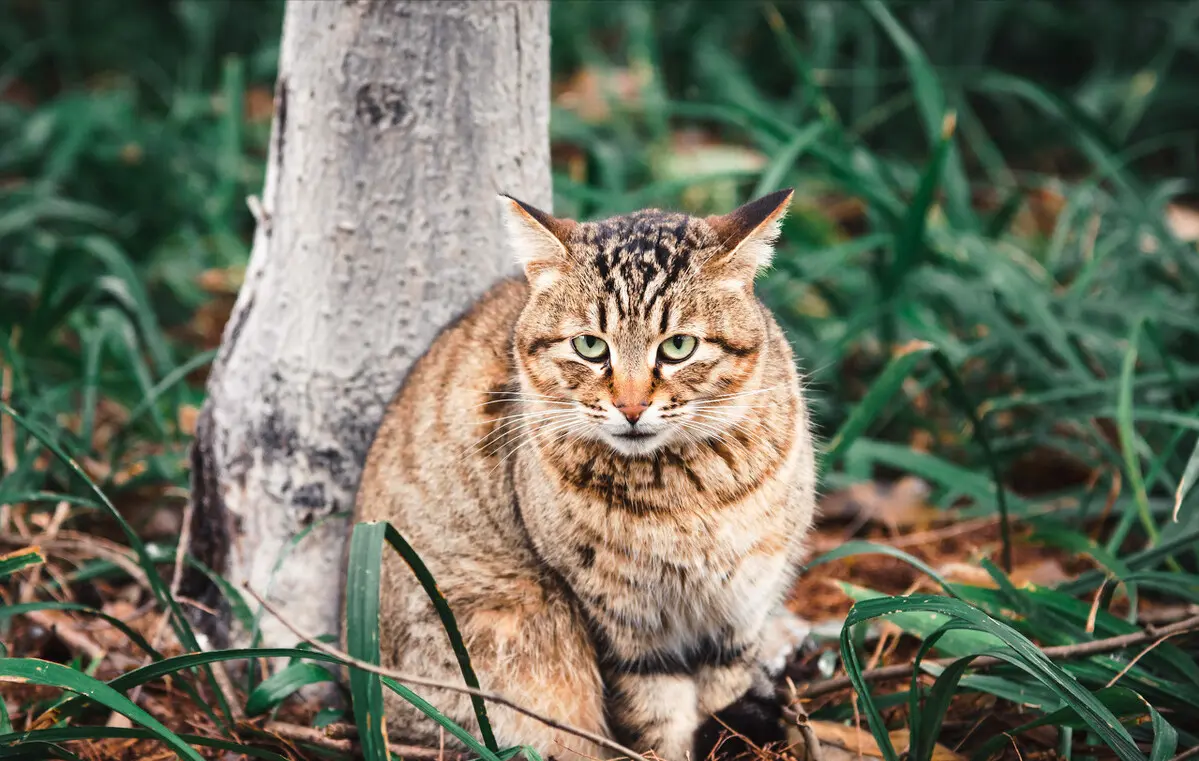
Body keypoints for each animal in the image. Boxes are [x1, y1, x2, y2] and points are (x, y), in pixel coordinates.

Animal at [350, 190, 820, 761]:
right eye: (590, 346)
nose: (632, 406)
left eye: (678, 346)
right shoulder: (621, 621)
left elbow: (723, 691)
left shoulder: (739, 608)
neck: (682, 497)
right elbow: (657, 716)